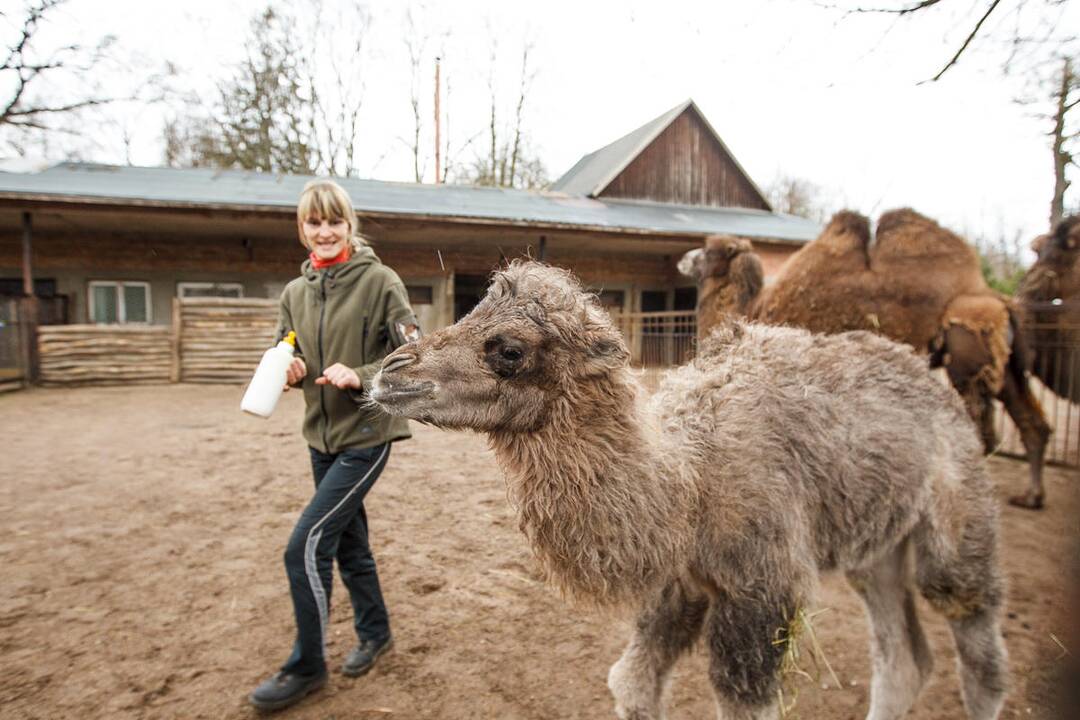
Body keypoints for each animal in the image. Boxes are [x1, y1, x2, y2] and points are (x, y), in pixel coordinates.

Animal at [369, 262, 1002, 720]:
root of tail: (937, 384)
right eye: (470, 311)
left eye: (508, 349)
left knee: (975, 643)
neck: (687, 484)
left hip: (958, 518)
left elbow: (744, 702)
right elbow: (632, 683)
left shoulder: (762, 589)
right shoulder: (680, 583)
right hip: (876, 549)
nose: (391, 370)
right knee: (903, 660)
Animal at [678, 208, 1049, 509]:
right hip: (1008, 368)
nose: (683, 257)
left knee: (980, 429)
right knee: (1032, 422)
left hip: (967, 357)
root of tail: (1002, 302)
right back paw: (1030, 496)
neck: (753, 307)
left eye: (707, 252)